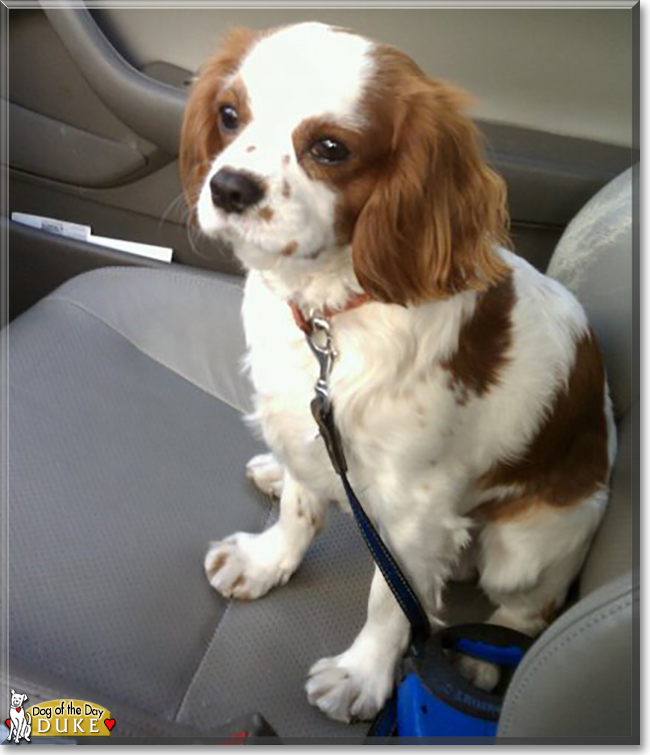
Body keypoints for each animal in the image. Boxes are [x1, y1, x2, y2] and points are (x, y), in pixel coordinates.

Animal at [180, 20, 616, 724]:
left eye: (330, 148)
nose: (229, 187)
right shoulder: (310, 422)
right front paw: (266, 561)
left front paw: (361, 675)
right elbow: (300, 509)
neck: (332, 310)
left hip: (529, 546)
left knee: (531, 608)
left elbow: (392, 602)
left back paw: (481, 660)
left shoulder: (417, 510)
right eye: (228, 114)